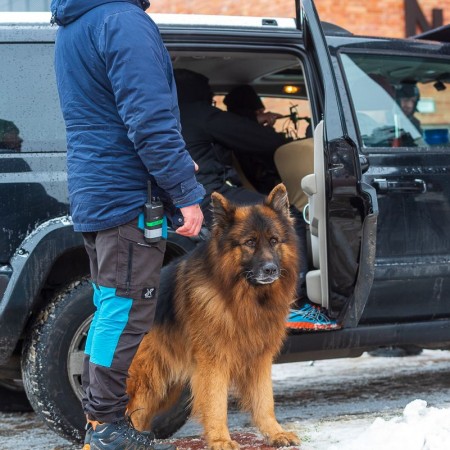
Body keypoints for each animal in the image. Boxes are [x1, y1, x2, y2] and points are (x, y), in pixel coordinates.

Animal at [126, 184, 300, 450]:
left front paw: (275, 432)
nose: (271, 269)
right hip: (146, 380)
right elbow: (216, 404)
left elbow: (265, 400)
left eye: (274, 241)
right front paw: (220, 439)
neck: (242, 298)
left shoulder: (259, 358)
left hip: (165, 386)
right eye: (249, 242)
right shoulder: (214, 363)